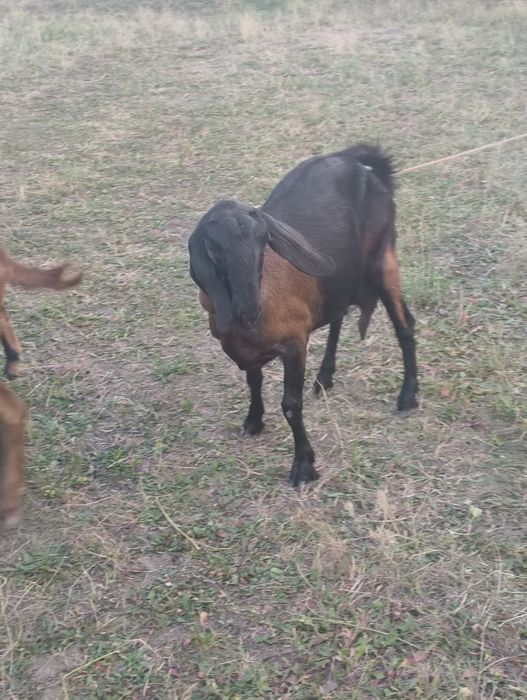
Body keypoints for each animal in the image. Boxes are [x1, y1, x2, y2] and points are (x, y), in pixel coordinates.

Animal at [188, 144, 418, 486]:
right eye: (214, 250)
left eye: (264, 241)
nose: (250, 308)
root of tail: (364, 164)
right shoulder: (249, 353)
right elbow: (253, 382)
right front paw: (253, 421)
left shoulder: (294, 344)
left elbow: (290, 405)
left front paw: (303, 466)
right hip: (342, 276)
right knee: (339, 314)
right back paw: (324, 378)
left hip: (383, 258)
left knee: (405, 324)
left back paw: (407, 398)